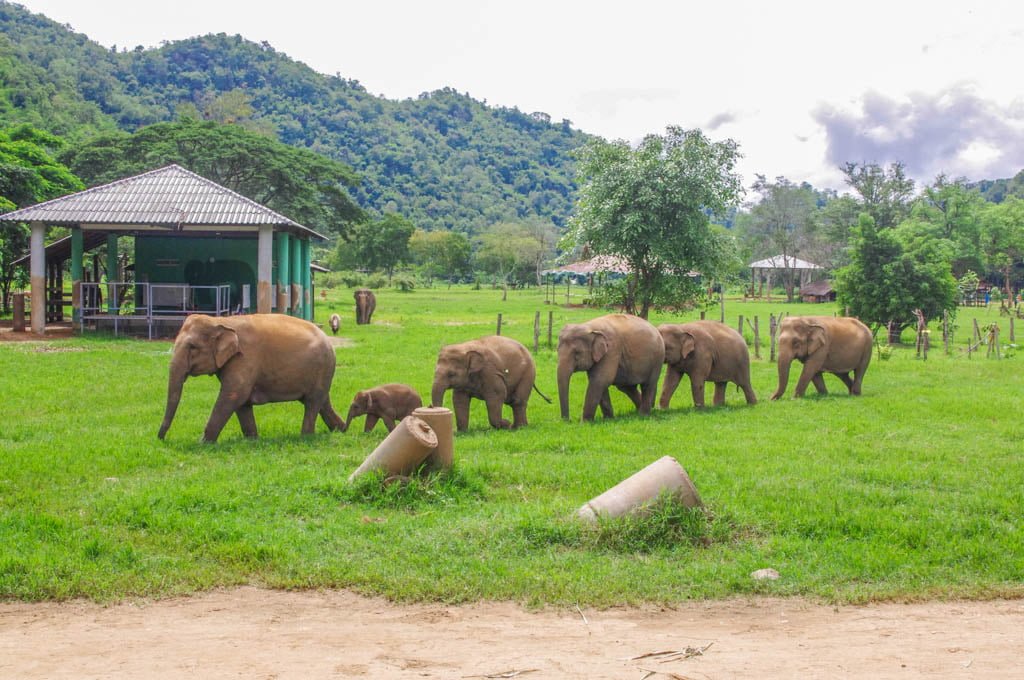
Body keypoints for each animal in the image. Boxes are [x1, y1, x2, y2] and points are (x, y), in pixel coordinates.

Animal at [155, 315, 346, 444]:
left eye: (192, 347)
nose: (161, 439)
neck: (221, 321)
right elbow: (242, 402)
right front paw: (252, 440)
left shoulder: (245, 358)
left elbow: (233, 395)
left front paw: (203, 444)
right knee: (322, 402)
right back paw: (341, 430)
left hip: (322, 368)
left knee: (312, 403)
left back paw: (305, 437)